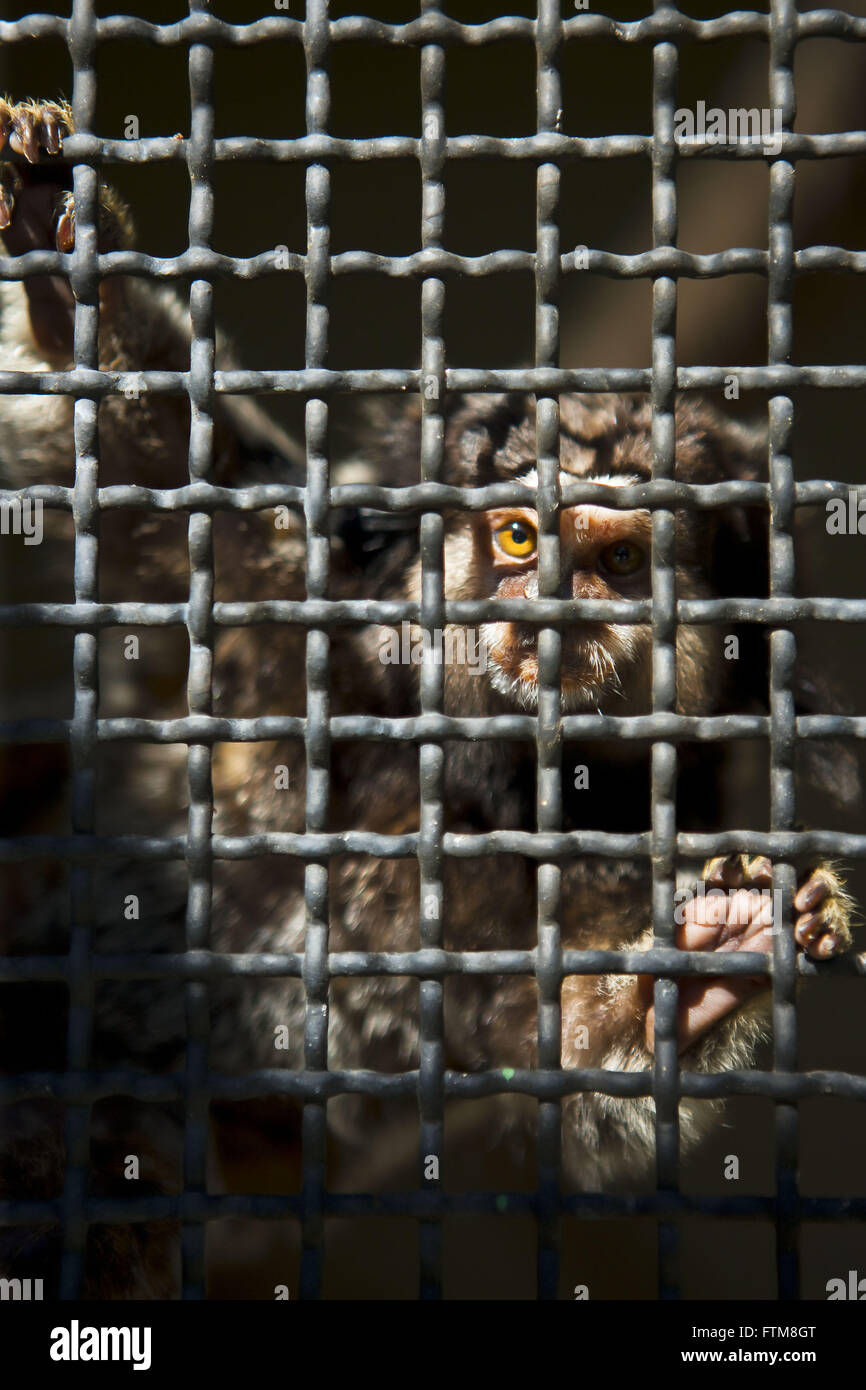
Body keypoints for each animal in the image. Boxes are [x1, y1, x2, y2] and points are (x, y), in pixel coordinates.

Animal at [0, 102, 856, 1295]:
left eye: (620, 560)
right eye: (518, 538)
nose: (547, 613)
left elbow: (572, 1041)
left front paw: (716, 954)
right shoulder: (285, 610)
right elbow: (146, 455)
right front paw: (56, 234)